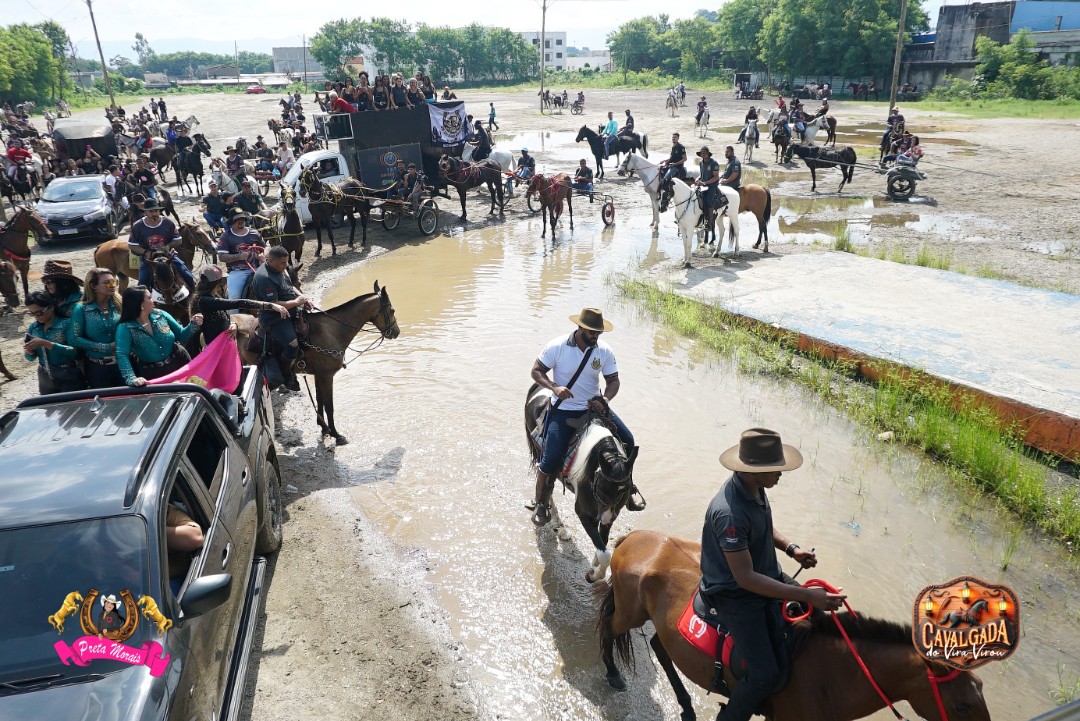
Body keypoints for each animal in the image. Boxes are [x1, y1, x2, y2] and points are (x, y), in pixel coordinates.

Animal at [235, 281, 400, 444]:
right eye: (392, 310)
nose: (396, 332)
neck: (331, 331)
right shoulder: (327, 376)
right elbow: (329, 406)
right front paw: (336, 434)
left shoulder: (318, 375)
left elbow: (319, 400)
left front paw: (324, 428)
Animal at [524, 388, 640, 582]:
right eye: (601, 490)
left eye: (624, 492)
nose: (605, 518)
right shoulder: (584, 512)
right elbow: (604, 553)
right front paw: (593, 574)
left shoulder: (611, 513)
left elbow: (603, 543)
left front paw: (594, 565)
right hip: (545, 457)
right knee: (546, 486)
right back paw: (554, 522)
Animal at [596, 531, 992, 721]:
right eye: (961, 707)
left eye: (981, 691)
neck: (831, 673)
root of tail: (633, 537)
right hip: (630, 611)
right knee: (609, 628)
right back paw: (612, 673)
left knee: (660, 647)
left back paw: (686, 706)